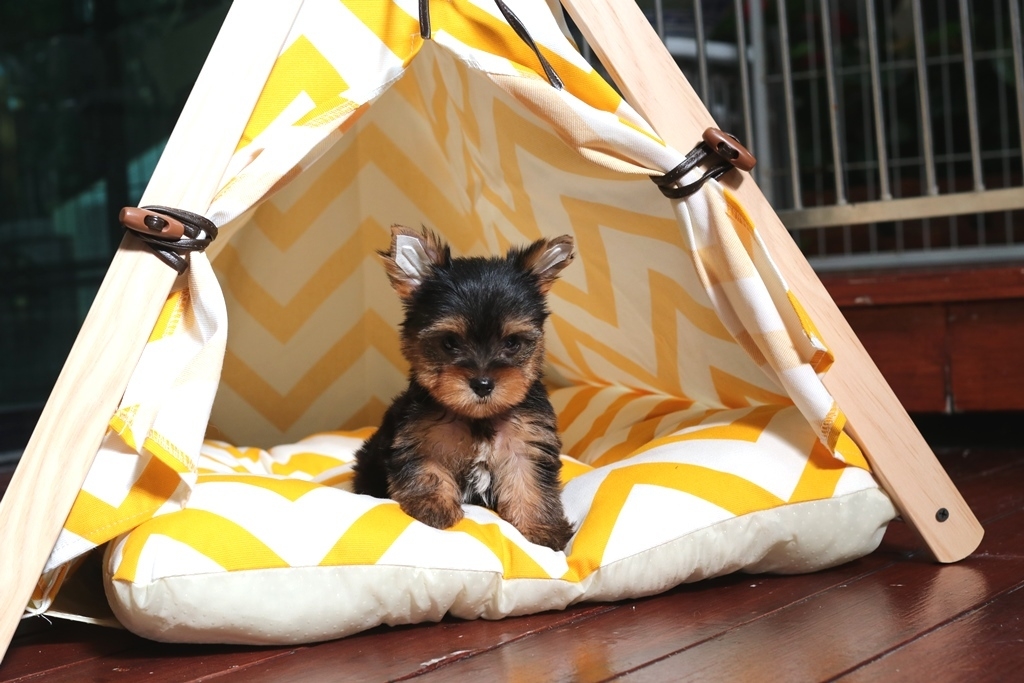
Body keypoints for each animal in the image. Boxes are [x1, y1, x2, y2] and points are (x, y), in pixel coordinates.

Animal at [353, 225, 575, 551]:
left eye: (512, 343)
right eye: (449, 343)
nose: (482, 384)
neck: (477, 416)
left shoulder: (527, 443)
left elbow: (529, 484)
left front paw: (542, 530)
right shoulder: (421, 438)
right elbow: (428, 470)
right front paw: (433, 508)